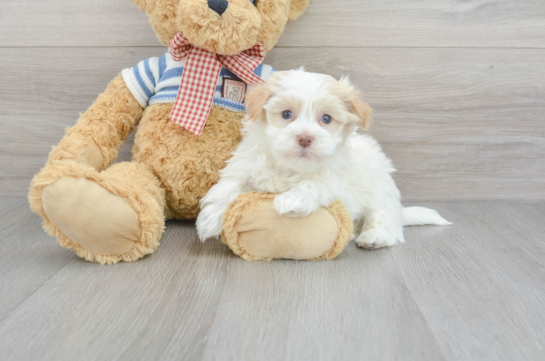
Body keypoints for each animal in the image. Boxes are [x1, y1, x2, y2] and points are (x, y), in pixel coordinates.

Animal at [197, 67, 450, 248]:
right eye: (286, 114)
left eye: (326, 119)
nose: (305, 138)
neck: (290, 167)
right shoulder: (245, 165)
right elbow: (227, 186)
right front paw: (208, 220)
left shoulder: (337, 182)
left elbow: (314, 184)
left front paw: (291, 199)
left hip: (381, 189)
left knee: (384, 219)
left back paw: (374, 237)